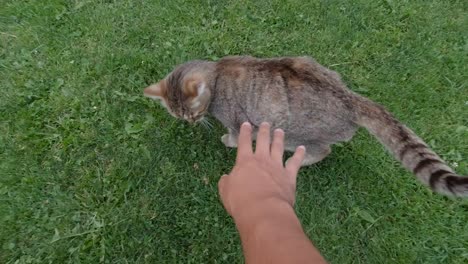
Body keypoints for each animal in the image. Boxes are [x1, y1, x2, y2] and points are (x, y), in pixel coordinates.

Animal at [144, 55, 466, 196]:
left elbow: (234, 136)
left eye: (192, 112)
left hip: (290, 132)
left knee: (322, 150)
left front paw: (226, 141)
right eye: (180, 116)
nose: (190, 122)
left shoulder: (240, 122)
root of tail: (350, 98)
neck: (217, 74)